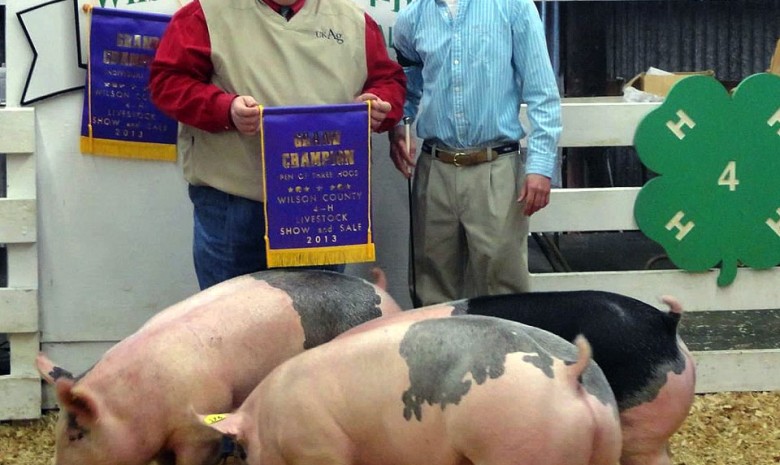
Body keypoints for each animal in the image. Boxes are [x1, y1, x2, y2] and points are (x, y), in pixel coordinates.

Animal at [203, 316, 620, 465]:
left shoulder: (318, 446)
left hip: (519, 445)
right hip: (607, 447)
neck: (269, 416)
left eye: (241, 451)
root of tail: (568, 374)